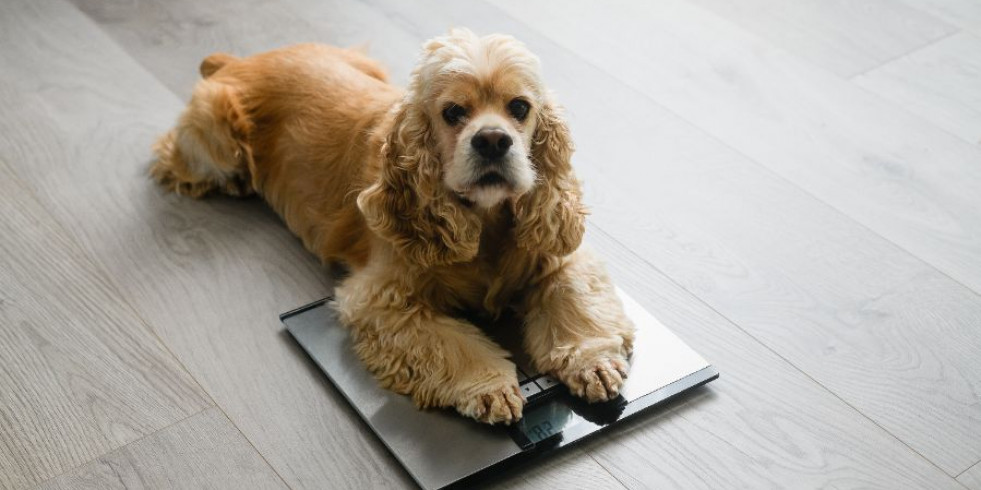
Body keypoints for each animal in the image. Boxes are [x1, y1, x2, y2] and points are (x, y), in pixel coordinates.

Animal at [149, 28, 632, 424]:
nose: (493, 140)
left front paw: (592, 360)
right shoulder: (380, 299)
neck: (484, 221)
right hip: (218, 135)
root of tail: (237, 60)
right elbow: (448, 342)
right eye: (453, 112)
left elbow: (572, 296)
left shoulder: (558, 253)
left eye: (520, 107)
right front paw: (490, 387)